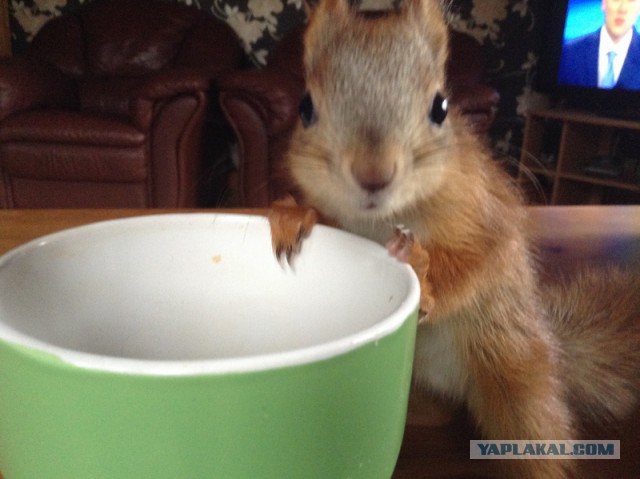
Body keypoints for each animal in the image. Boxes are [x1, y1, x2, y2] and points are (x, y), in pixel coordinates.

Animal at [268, 1, 640, 478]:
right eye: (306, 107)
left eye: (440, 107)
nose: (373, 174)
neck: (386, 216)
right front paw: (294, 214)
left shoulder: (486, 215)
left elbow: (477, 261)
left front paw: (422, 269)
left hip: (517, 380)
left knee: (537, 437)